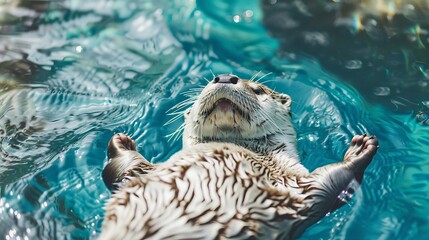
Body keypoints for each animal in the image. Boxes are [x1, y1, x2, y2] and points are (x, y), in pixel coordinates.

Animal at [98, 74, 376, 239]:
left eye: (257, 89)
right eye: (210, 82)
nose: (223, 77)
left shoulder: (291, 188)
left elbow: (326, 187)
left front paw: (359, 149)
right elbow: (127, 170)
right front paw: (122, 142)